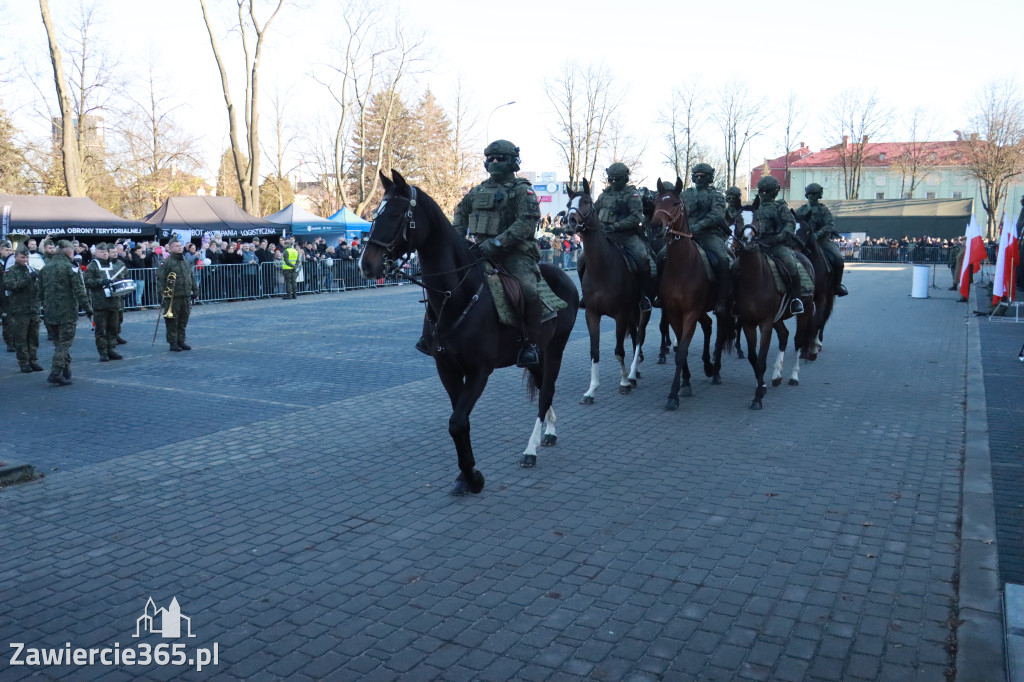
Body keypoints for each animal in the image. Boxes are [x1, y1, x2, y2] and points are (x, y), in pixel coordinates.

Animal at [565, 179, 651, 403]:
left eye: (587, 201)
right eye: (569, 203)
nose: (569, 221)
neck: (602, 267)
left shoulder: (620, 314)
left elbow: (619, 351)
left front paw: (624, 382)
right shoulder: (592, 314)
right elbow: (594, 351)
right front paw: (591, 390)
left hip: (641, 310)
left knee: (640, 337)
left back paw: (632, 374)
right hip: (631, 312)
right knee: (635, 335)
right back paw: (635, 372)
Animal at [651, 176, 733, 409]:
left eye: (675, 203)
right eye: (656, 202)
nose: (656, 225)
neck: (681, 266)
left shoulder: (690, 313)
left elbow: (681, 352)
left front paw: (673, 395)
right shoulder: (673, 312)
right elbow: (681, 349)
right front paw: (685, 382)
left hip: (723, 307)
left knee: (720, 333)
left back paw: (716, 370)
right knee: (707, 326)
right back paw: (707, 365)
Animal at [737, 222, 815, 409]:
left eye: (756, 229)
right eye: (738, 223)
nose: (748, 240)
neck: (754, 280)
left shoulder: (765, 323)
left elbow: (761, 359)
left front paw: (758, 398)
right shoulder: (747, 323)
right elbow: (753, 358)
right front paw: (762, 386)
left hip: (805, 311)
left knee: (798, 340)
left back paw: (794, 376)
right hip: (777, 318)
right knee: (784, 335)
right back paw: (777, 375)